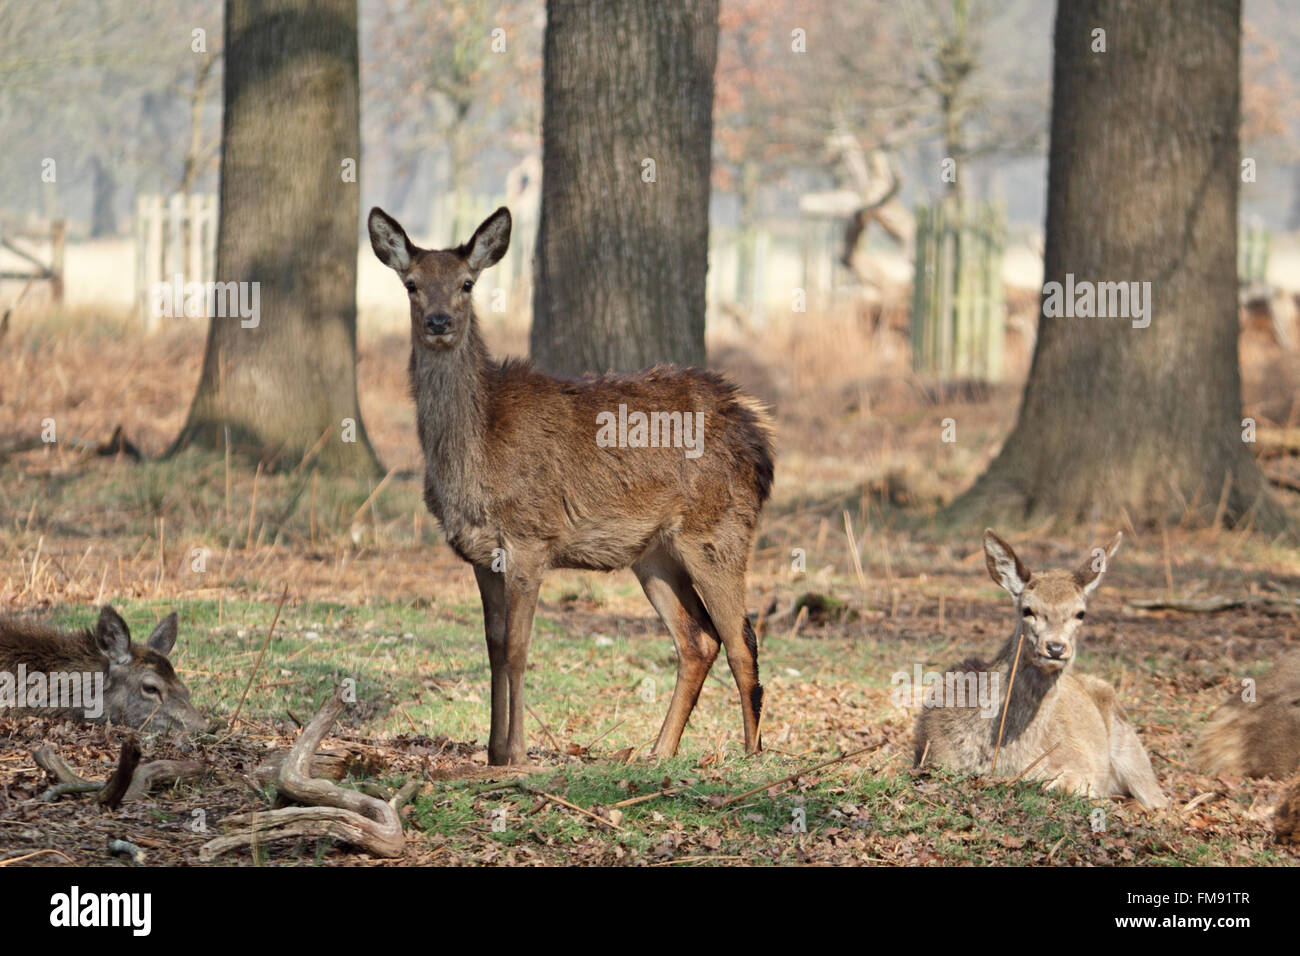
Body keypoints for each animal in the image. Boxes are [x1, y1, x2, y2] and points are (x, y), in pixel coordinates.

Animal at [366, 205, 769, 764]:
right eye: (411, 284)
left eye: (467, 283)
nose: (439, 321)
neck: (476, 450)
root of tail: (760, 438)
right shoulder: (480, 554)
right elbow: (493, 646)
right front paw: (492, 750)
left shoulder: (531, 538)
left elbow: (518, 649)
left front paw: (516, 754)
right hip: (654, 554)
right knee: (698, 640)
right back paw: (657, 751)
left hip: (718, 532)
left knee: (742, 638)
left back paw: (752, 756)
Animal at [915, 530, 1170, 806]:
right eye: (1028, 609)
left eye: (1081, 613)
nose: (1056, 647)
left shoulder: (1080, 765)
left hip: (1132, 751)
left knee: (1159, 800)